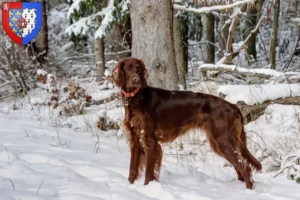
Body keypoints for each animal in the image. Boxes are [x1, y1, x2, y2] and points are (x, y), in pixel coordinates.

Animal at [112, 57, 260, 189]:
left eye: (138, 69)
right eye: (128, 68)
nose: (136, 80)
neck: (137, 98)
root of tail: (232, 106)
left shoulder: (150, 140)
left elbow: (149, 172)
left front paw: (148, 188)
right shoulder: (136, 139)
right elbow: (132, 168)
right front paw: (129, 186)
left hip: (223, 140)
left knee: (244, 167)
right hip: (219, 142)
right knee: (239, 166)